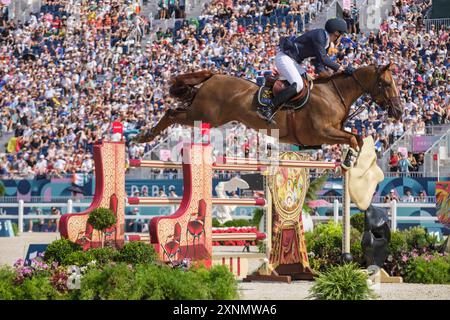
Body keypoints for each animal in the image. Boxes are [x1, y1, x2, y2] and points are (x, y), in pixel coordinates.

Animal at [135, 64, 402, 152]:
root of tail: (214, 76)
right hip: (203, 114)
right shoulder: (322, 132)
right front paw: (351, 162)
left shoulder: (332, 132)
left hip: (205, 115)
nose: (399, 112)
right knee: (172, 113)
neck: (334, 94)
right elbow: (354, 138)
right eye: (387, 83)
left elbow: (357, 137)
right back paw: (144, 135)